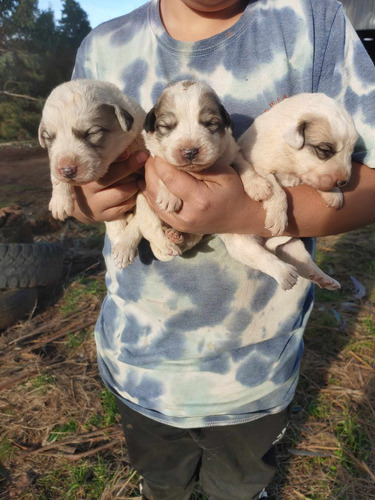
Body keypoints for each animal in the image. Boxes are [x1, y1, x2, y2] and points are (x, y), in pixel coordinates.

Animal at [39, 80, 146, 268]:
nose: (67, 170)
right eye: (49, 138)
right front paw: (60, 201)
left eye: (91, 133)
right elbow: (55, 172)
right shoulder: (56, 159)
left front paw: (124, 247)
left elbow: (141, 218)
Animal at [141, 80, 356, 292]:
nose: (343, 181)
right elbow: (279, 192)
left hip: (291, 242)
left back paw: (323, 278)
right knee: (262, 257)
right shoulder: (263, 166)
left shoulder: (239, 156)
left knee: (302, 261)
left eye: (210, 124)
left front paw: (333, 193)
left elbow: (249, 170)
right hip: (239, 244)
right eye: (324, 150)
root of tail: (266, 243)